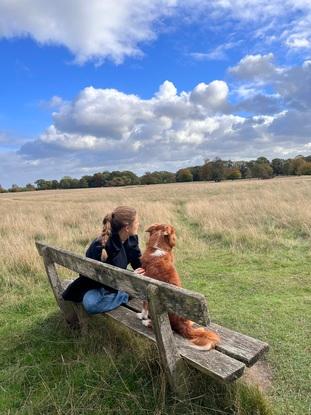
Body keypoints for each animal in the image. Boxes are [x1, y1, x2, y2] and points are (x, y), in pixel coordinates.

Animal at [137, 224, 222, 352]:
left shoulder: (144, 286)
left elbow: (144, 306)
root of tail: (184, 325)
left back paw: (146, 322)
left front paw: (142, 316)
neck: (158, 247)